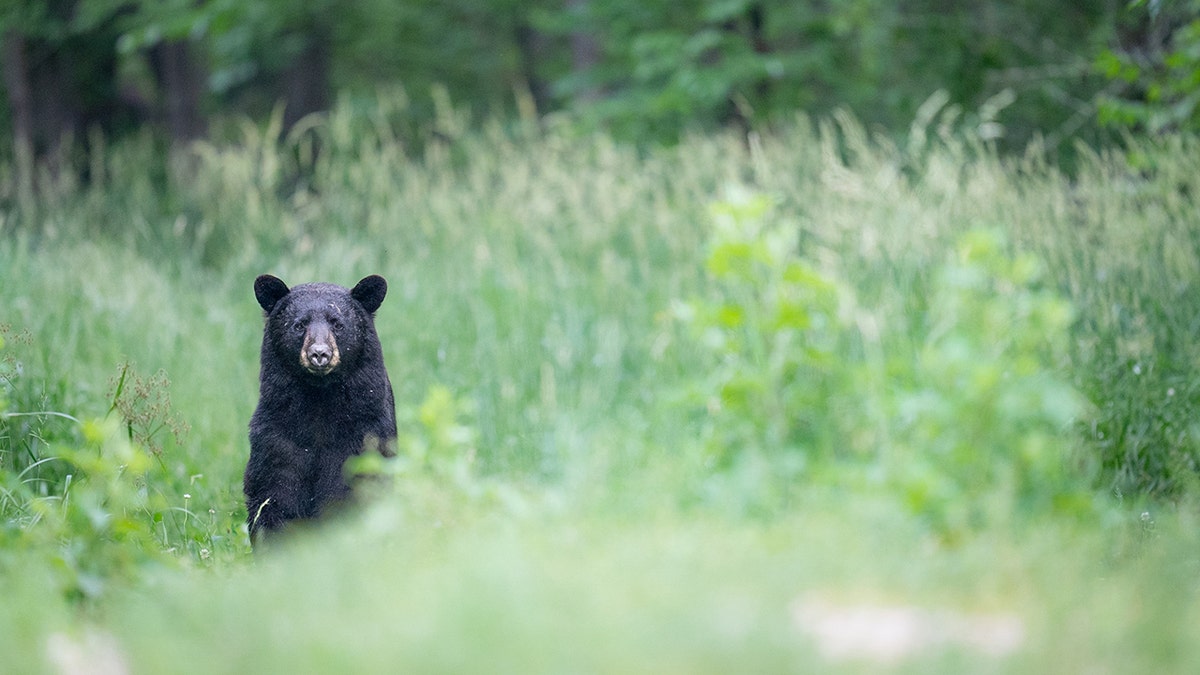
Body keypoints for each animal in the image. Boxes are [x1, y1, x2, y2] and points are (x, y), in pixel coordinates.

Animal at [244, 270, 398, 542]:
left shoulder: (365, 433)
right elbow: (274, 494)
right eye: (299, 325)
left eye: (337, 324)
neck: (319, 399)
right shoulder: (278, 435)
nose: (319, 354)